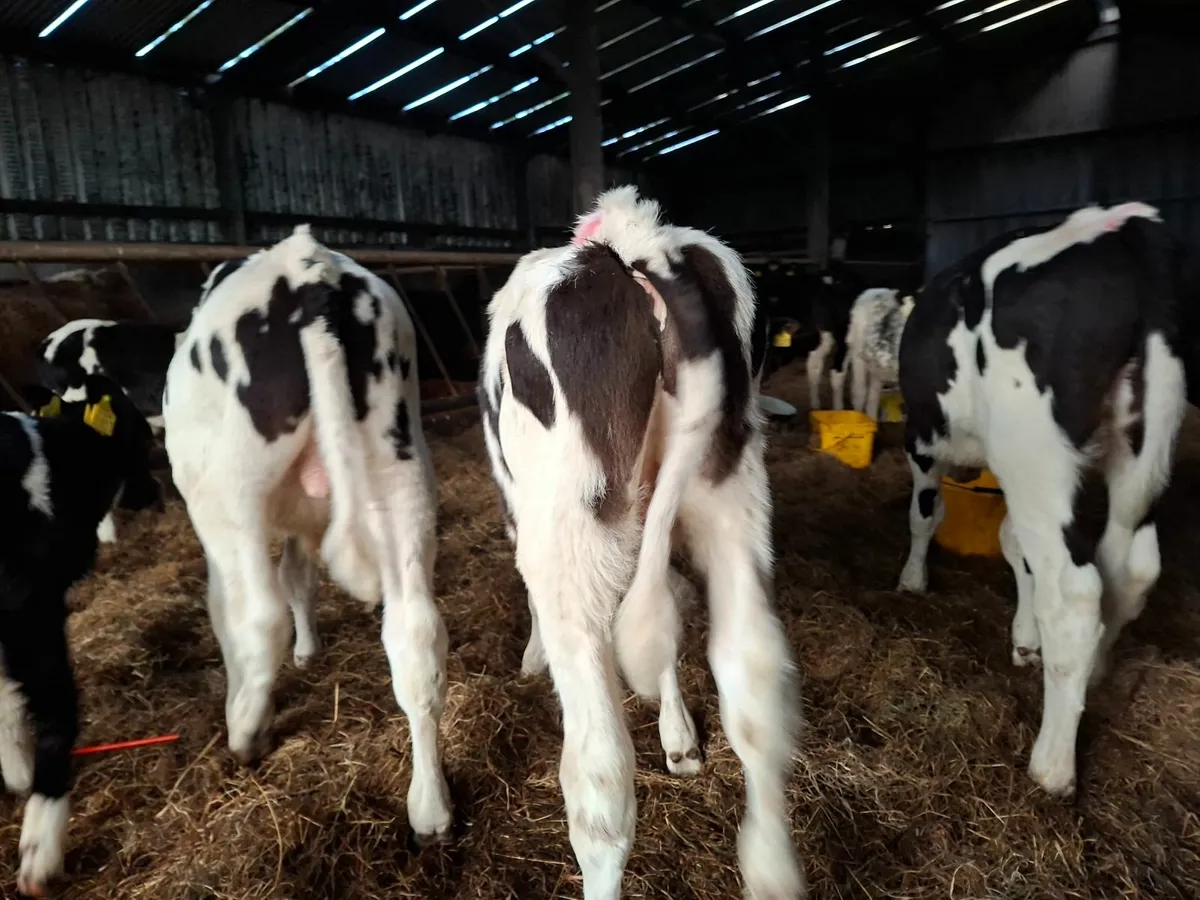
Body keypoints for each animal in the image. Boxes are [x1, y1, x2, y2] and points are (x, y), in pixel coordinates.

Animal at [161, 226, 453, 845]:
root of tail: (307, 269)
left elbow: (228, 609)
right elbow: (299, 576)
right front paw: (309, 650)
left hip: (230, 493)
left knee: (258, 615)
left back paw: (246, 730)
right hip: (402, 472)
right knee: (415, 633)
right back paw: (430, 809)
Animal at [477, 186, 805, 900]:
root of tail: (633, 245)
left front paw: (531, 657)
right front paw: (680, 740)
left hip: (569, 537)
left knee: (600, 780)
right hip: (731, 498)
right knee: (752, 686)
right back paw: (770, 867)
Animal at [896, 202, 1198, 798]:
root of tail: (1126, 226)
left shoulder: (923, 438)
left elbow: (926, 515)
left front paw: (913, 580)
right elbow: (1013, 543)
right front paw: (1024, 637)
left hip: (1038, 456)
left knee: (1076, 595)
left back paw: (1053, 765)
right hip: (1142, 452)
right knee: (1131, 568)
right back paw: (1094, 670)